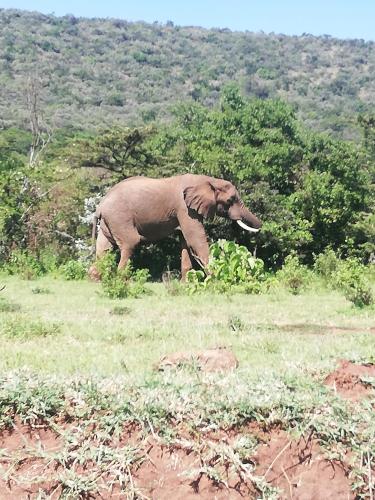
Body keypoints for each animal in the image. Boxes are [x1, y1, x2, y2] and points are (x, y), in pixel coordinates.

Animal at [90, 174, 262, 280]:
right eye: (230, 200)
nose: (261, 228)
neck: (207, 180)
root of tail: (100, 206)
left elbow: (185, 242)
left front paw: (184, 284)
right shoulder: (185, 209)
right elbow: (195, 239)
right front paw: (216, 278)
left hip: (109, 222)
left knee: (104, 248)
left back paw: (95, 279)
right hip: (119, 217)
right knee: (130, 242)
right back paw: (123, 281)